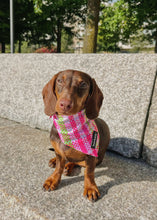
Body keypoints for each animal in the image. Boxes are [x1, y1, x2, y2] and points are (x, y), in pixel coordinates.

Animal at [42, 69, 110, 201]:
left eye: (83, 84)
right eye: (59, 80)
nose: (65, 104)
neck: (69, 126)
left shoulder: (91, 157)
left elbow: (89, 173)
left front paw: (90, 188)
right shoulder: (59, 152)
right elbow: (58, 167)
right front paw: (53, 180)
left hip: (98, 159)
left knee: (77, 162)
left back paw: (68, 167)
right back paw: (55, 161)